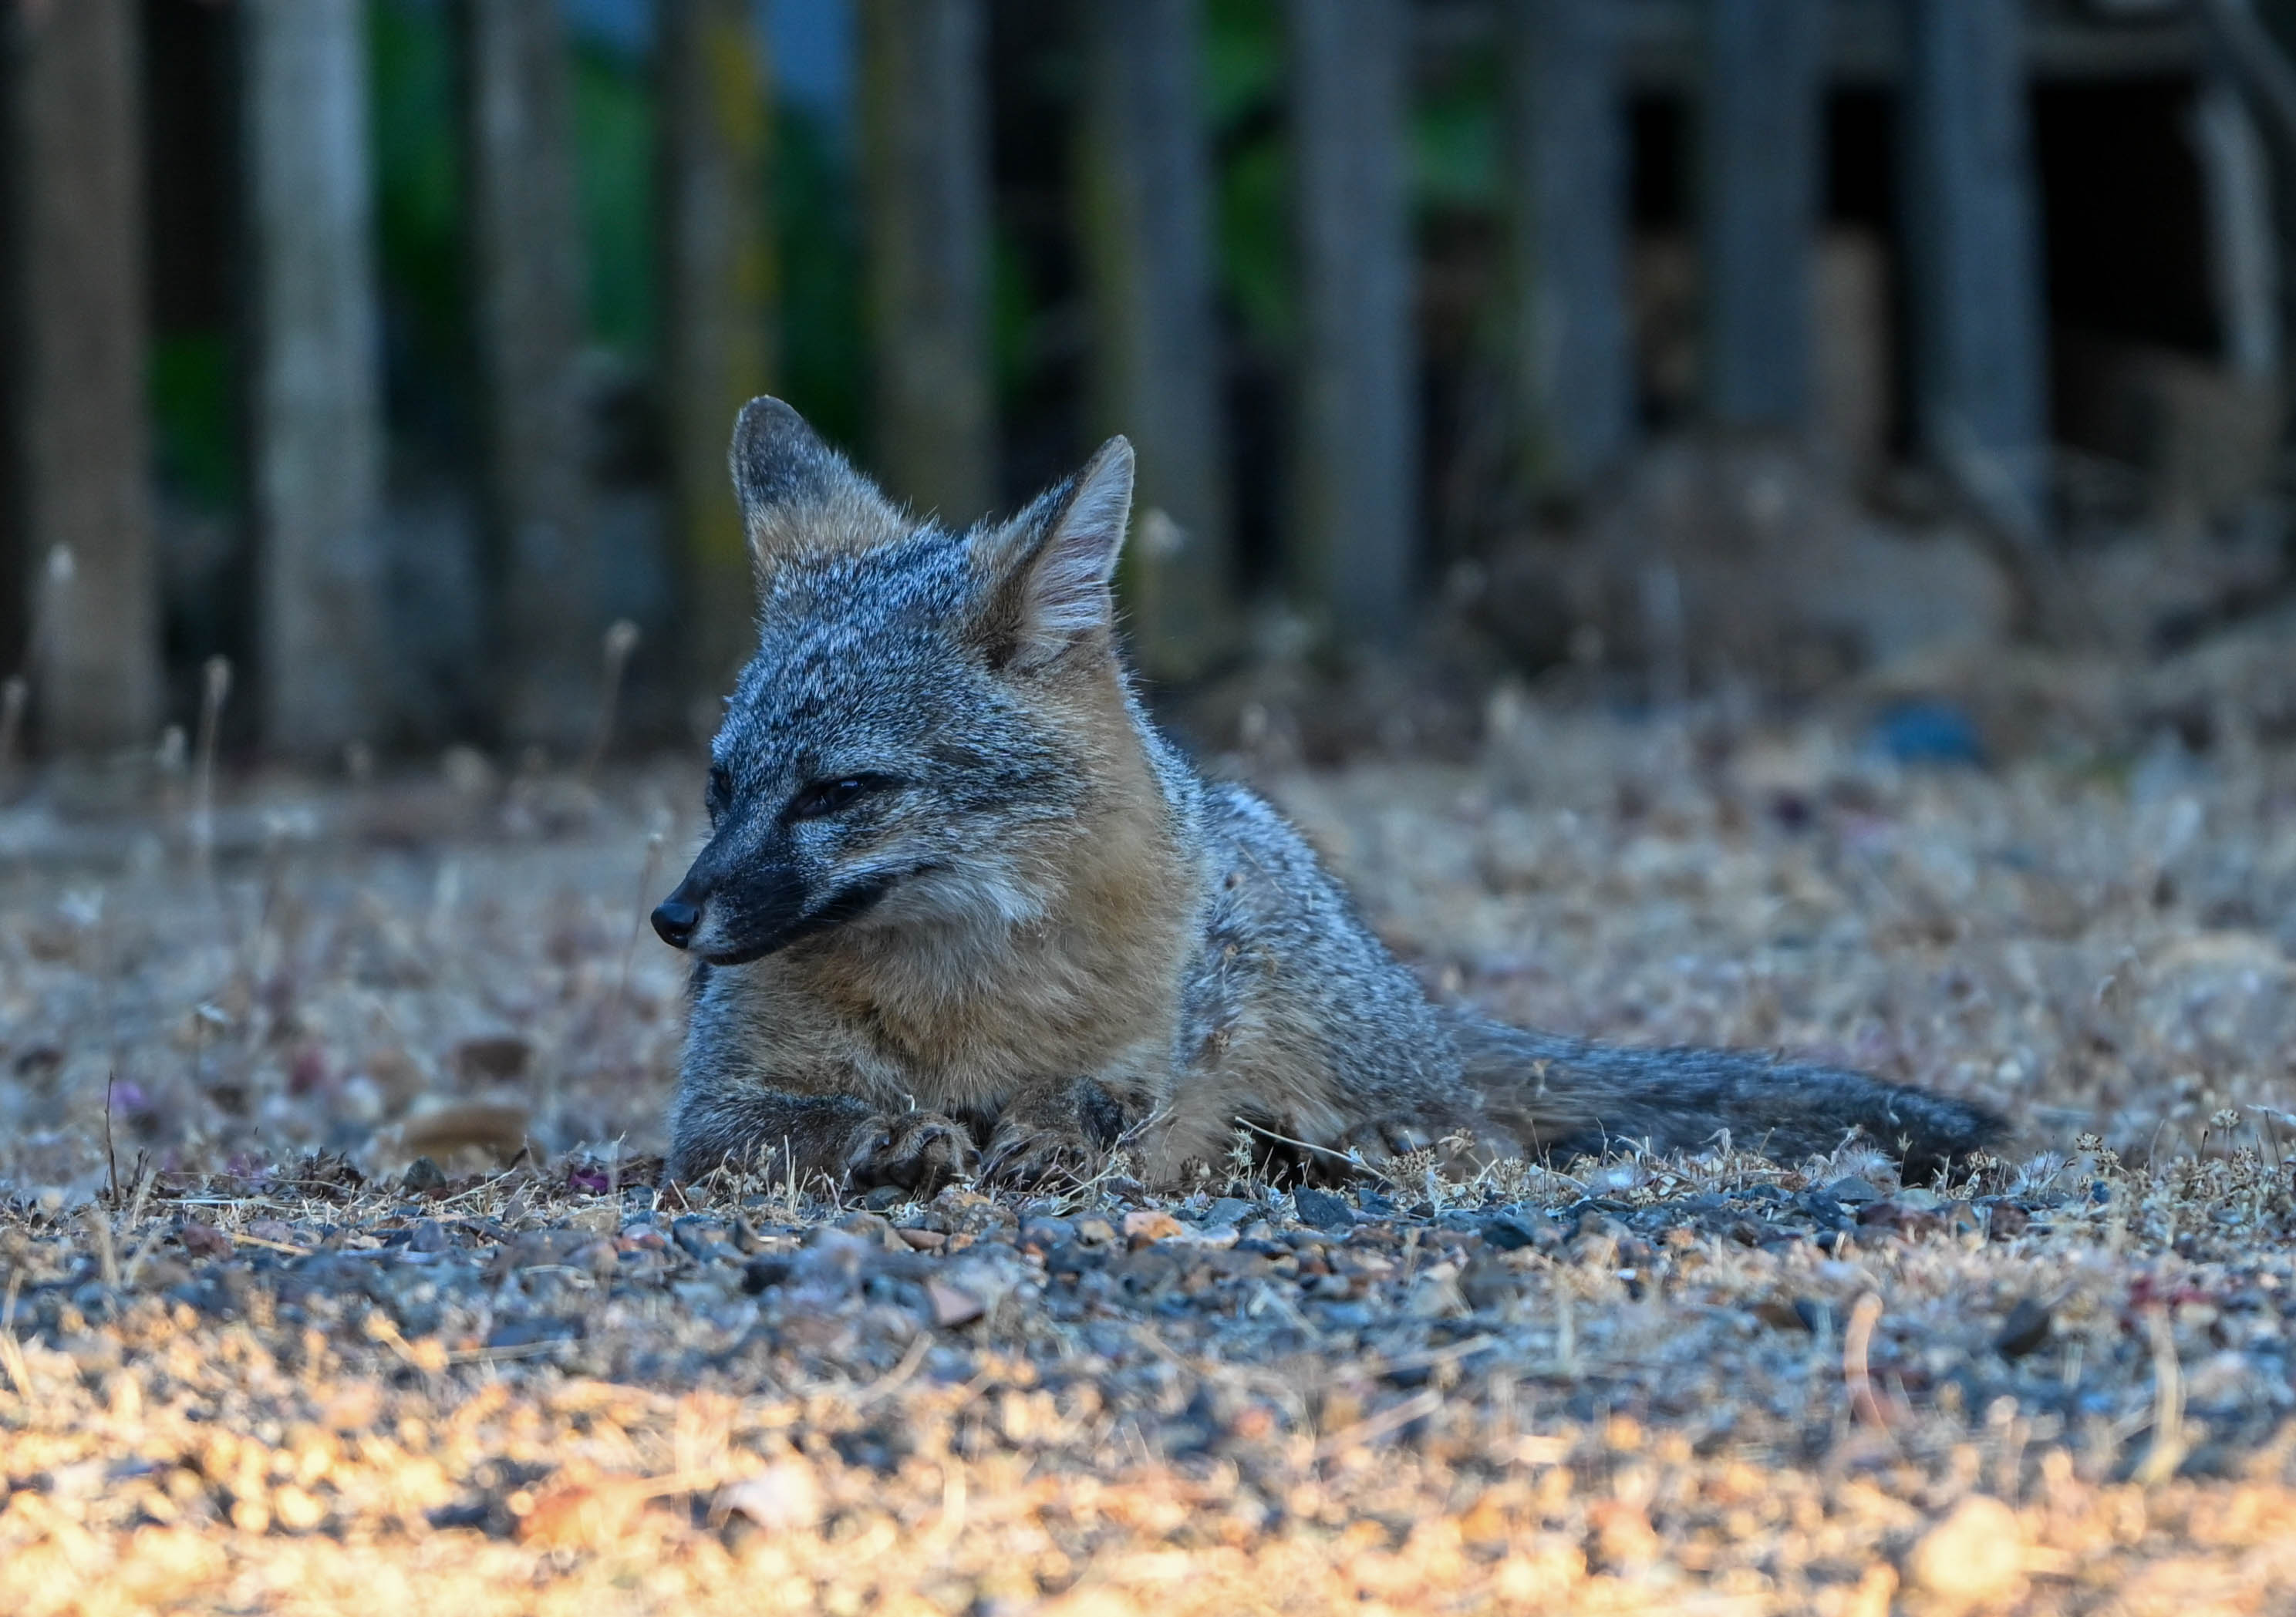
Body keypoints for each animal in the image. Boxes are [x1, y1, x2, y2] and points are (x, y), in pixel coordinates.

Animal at [651, 397, 2005, 1192]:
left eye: (841, 790)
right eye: (719, 785)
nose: (674, 921)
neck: (958, 1003)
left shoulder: (1144, 1062)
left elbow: (1102, 1101)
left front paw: (1045, 1126)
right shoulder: (712, 1110)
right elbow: (789, 1127)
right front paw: (890, 1135)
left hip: (1344, 1065)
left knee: (1449, 1126)